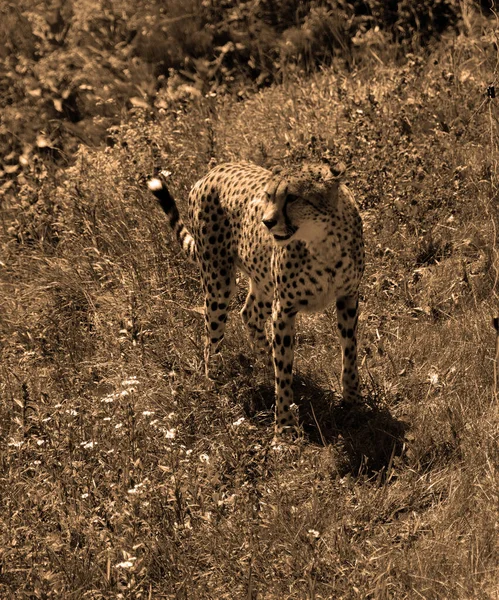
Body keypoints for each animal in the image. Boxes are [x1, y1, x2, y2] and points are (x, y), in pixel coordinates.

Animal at [146, 163, 366, 436]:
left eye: (292, 197)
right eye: (269, 196)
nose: (267, 222)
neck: (323, 242)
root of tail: (213, 170)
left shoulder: (348, 297)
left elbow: (350, 352)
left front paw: (353, 400)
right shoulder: (284, 308)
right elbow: (283, 373)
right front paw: (284, 427)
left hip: (263, 279)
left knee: (249, 314)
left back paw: (266, 358)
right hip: (218, 281)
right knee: (212, 336)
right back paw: (213, 382)